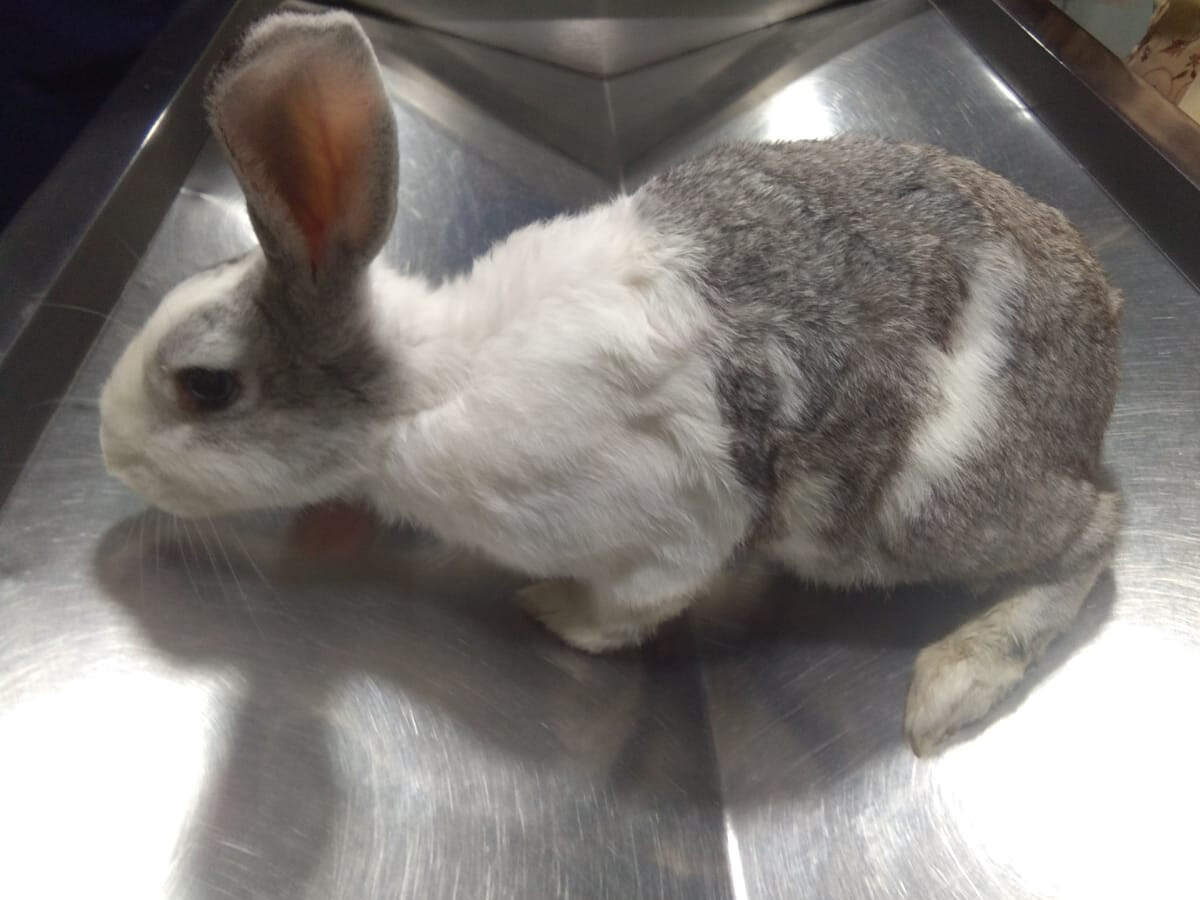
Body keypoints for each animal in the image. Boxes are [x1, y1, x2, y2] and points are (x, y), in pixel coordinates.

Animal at [99, 10, 1122, 756]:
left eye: (205, 387)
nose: (109, 450)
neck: (423, 395)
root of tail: (1102, 357)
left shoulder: (671, 528)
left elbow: (629, 609)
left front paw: (551, 611)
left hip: (918, 510)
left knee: (1096, 531)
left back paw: (955, 680)